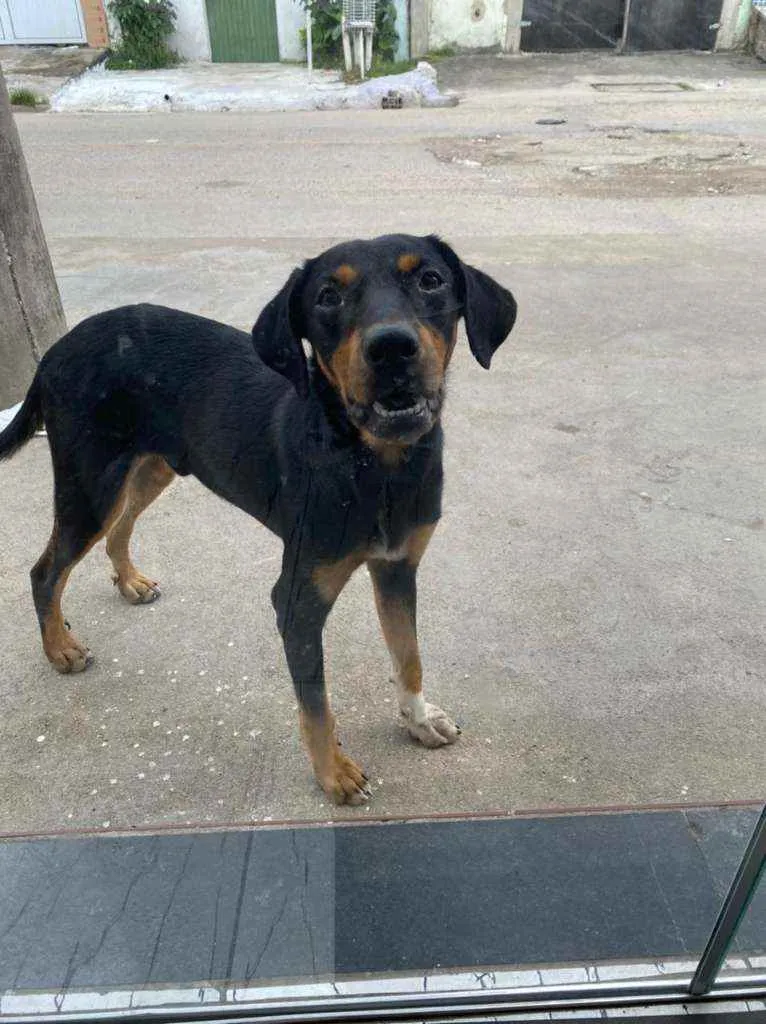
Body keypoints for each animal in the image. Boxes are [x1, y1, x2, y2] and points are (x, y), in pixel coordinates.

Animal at [0, 234, 517, 805]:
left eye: (430, 280)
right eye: (328, 296)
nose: (391, 348)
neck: (376, 465)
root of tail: (54, 350)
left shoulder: (398, 568)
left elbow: (409, 656)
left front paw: (419, 720)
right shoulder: (297, 598)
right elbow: (317, 703)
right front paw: (334, 774)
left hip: (152, 466)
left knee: (121, 525)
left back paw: (129, 581)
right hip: (90, 484)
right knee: (45, 571)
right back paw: (60, 648)